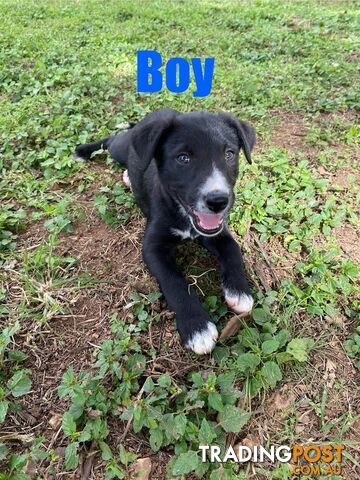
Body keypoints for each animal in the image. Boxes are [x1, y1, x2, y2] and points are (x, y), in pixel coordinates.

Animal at [75, 110, 256, 354]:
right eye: (183, 158)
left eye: (229, 154)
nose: (218, 201)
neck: (184, 216)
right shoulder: (153, 247)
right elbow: (174, 282)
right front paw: (197, 327)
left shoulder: (217, 232)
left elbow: (233, 250)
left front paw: (239, 291)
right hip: (121, 148)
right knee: (112, 140)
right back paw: (83, 150)